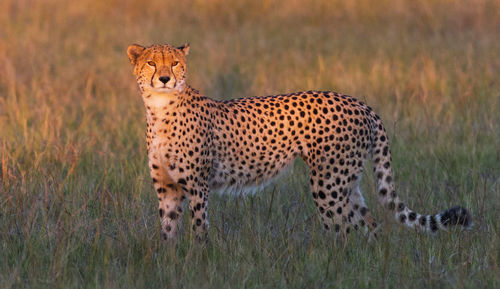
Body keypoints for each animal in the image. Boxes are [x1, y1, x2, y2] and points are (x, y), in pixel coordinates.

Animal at [126, 42, 472, 241]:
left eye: (174, 63)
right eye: (151, 63)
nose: (165, 78)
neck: (160, 109)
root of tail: (360, 103)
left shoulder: (198, 187)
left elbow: (199, 231)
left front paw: (199, 261)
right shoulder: (167, 189)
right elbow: (167, 233)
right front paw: (169, 264)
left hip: (328, 183)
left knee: (343, 230)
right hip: (345, 181)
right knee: (369, 224)